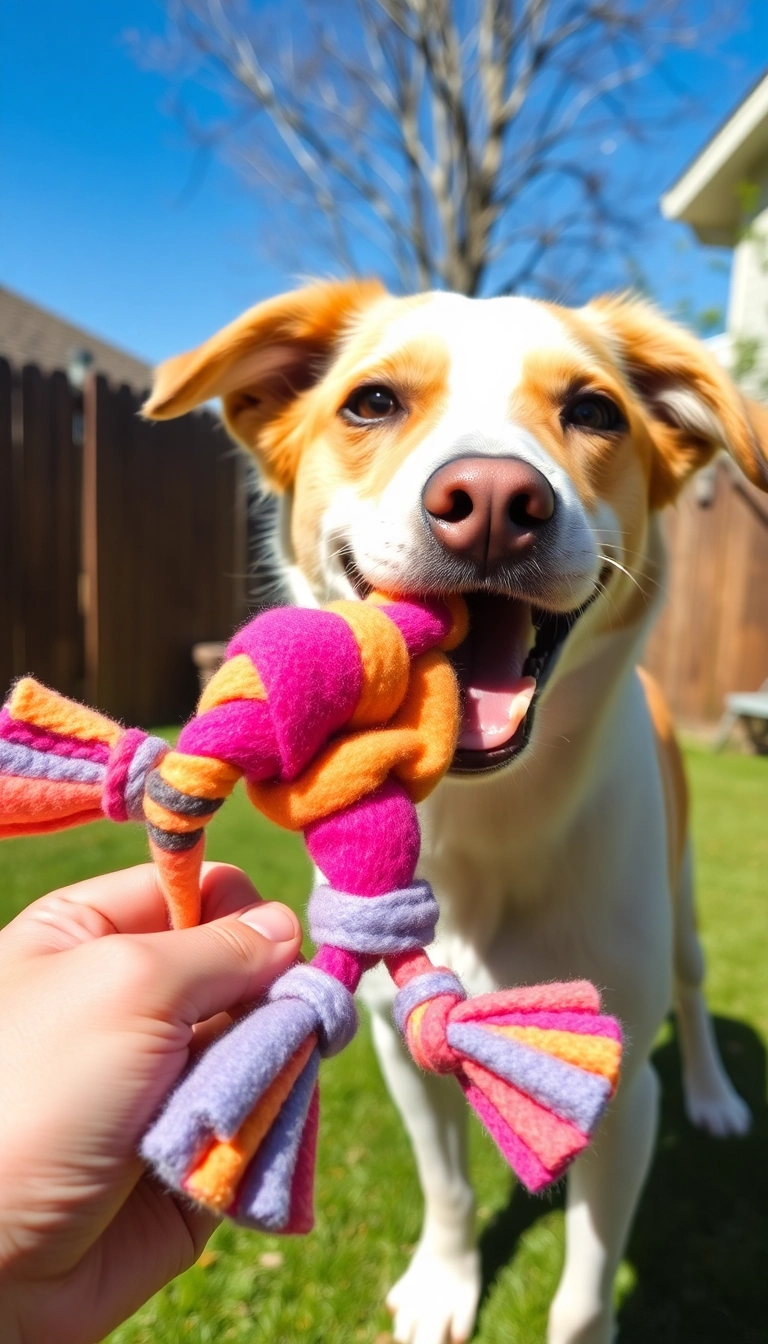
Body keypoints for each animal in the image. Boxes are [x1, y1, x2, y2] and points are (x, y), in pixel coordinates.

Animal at [143, 280, 763, 1344]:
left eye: (595, 410)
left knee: (691, 986)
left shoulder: (620, 1090)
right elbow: (450, 1190)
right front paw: (445, 1283)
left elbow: (586, 1288)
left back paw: (717, 1097)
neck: (486, 821)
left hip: (681, 909)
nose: (494, 504)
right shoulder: (401, 1043)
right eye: (371, 402)